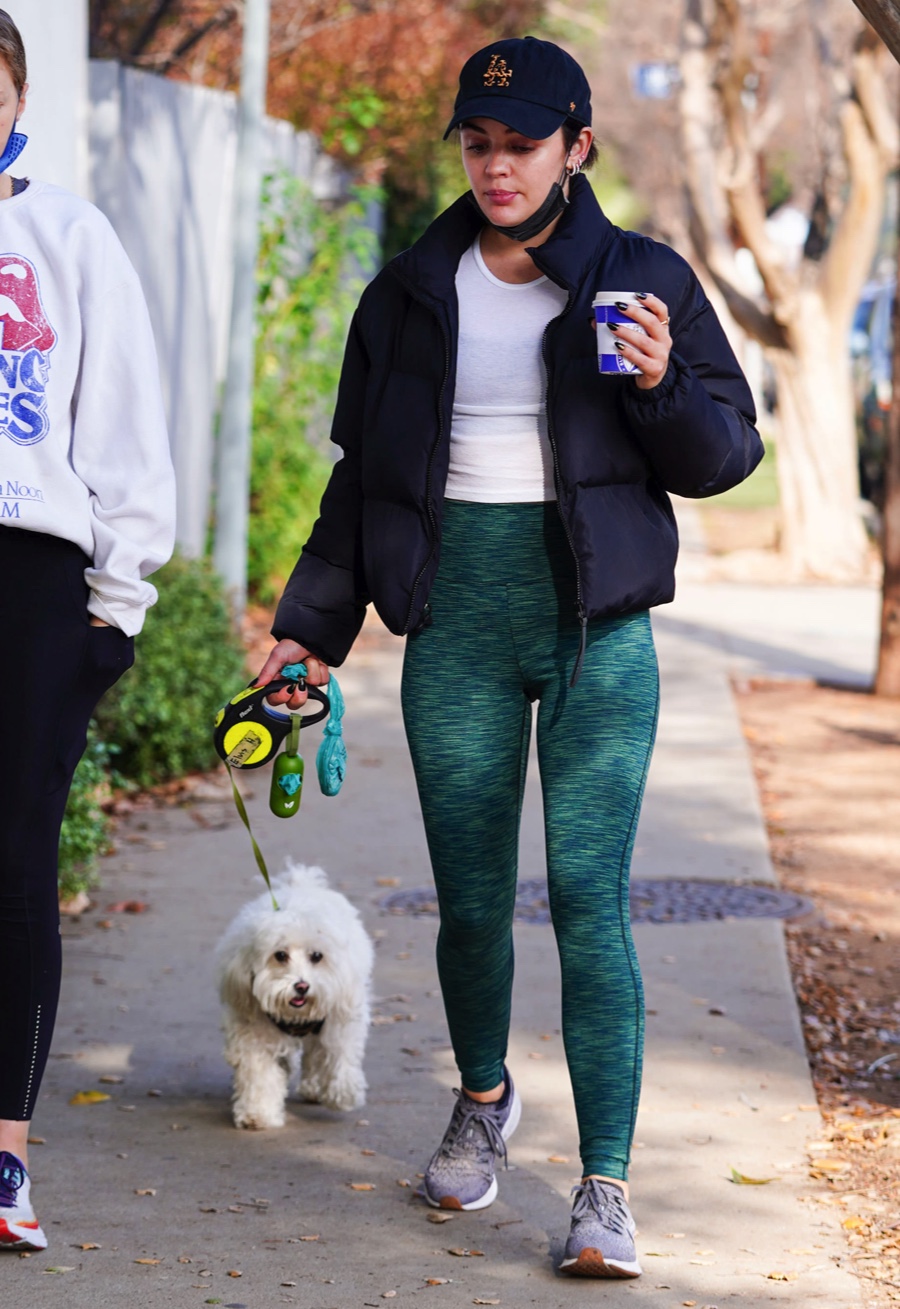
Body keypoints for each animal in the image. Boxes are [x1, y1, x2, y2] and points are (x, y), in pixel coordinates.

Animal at [214, 863, 371, 1130]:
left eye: (317, 956)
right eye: (280, 955)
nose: (302, 986)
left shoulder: (339, 1017)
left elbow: (337, 1053)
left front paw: (342, 1094)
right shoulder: (254, 1032)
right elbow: (260, 1073)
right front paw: (259, 1113)